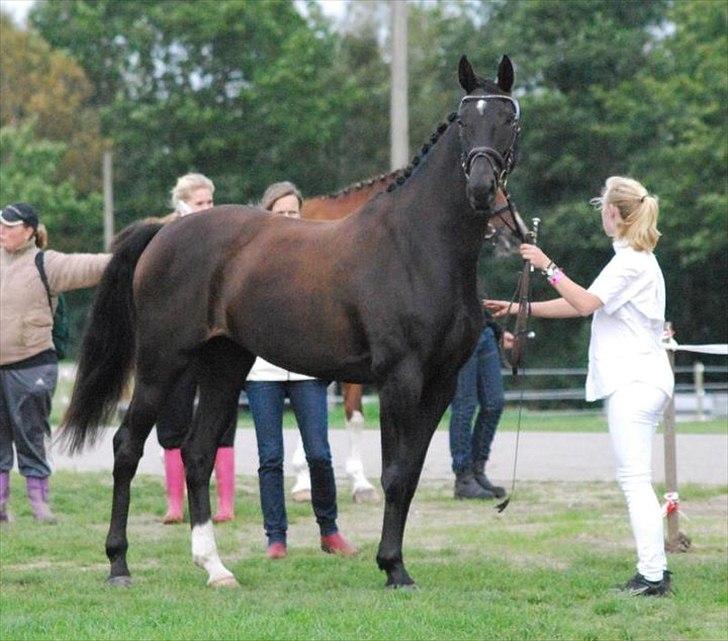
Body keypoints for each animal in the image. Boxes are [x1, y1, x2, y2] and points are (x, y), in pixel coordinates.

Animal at [59, 57, 520, 588]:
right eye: (464, 121)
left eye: (508, 119)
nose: (482, 190)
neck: (417, 247)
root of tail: (164, 232)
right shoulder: (400, 378)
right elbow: (395, 474)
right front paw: (393, 567)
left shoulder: (440, 383)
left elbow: (411, 474)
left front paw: (394, 563)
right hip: (162, 363)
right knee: (127, 447)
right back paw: (118, 563)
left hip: (224, 363)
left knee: (197, 454)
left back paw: (215, 567)